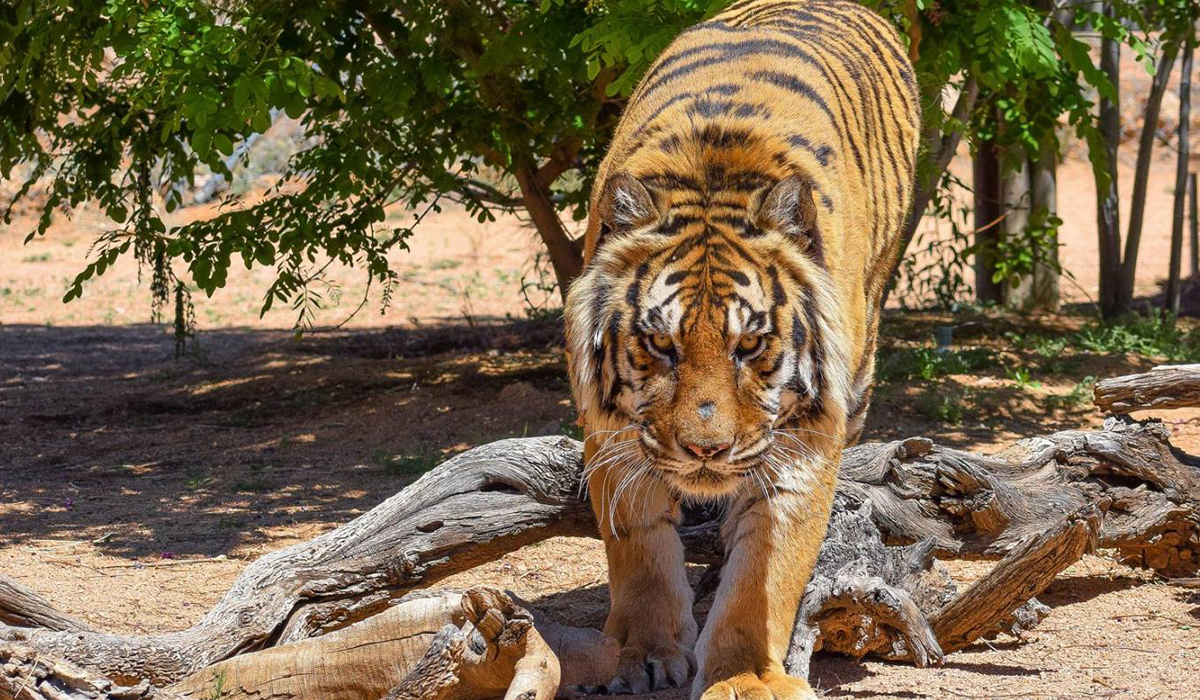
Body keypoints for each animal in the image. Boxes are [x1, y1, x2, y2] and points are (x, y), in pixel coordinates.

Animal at [562, 0, 920, 698]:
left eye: (750, 344)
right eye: (660, 344)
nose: (706, 451)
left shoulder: (805, 436)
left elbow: (768, 566)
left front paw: (745, 674)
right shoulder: (612, 428)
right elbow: (638, 548)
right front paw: (643, 654)